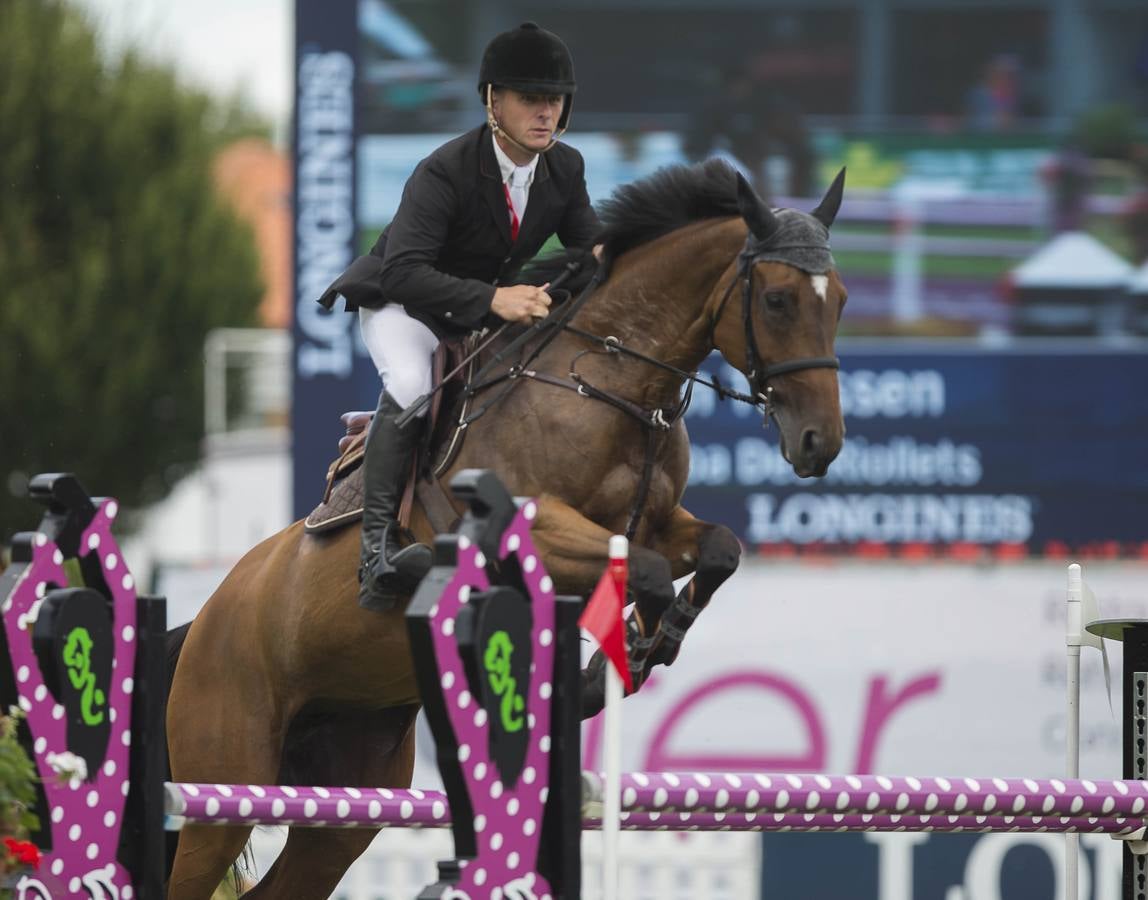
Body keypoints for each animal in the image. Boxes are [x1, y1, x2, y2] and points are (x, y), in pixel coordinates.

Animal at [166, 158, 849, 895]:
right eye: (777, 300)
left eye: (839, 300)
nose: (820, 443)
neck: (608, 382)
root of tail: (203, 620)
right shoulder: (536, 530)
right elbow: (646, 572)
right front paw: (617, 660)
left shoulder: (654, 522)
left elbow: (717, 550)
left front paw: (648, 644)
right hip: (221, 784)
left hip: (348, 786)